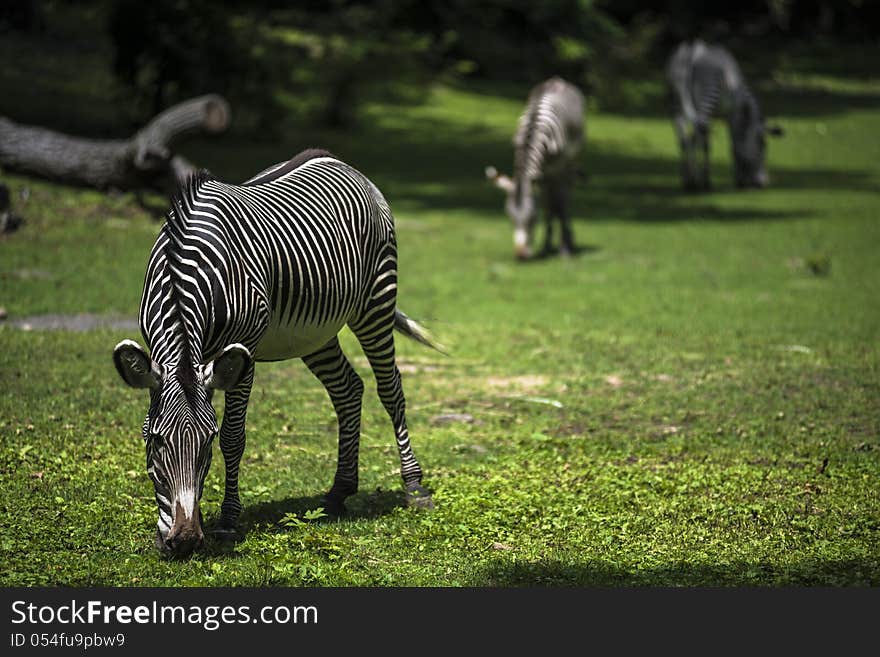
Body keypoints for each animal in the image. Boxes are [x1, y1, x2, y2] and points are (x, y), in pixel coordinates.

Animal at [111, 147, 444, 552]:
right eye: (155, 441)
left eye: (208, 442)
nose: (185, 541)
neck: (181, 271)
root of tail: (337, 160)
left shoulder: (243, 351)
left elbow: (234, 436)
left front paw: (228, 522)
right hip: (314, 332)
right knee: (348, 389)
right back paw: (339, 491)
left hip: (376, 300)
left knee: (390, 389)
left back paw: (414, 487)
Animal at [482, 76, 584, 258]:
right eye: (510, 219)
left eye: (532, 219)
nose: (521, 255)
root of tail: (557, 80)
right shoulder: (540, 174)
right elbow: (547, 206)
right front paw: (545, 246)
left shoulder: (557, 171)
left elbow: (559, 204)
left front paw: (565, 249)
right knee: (550, 201)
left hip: (570, 163)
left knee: (564, 198)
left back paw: (568, 240)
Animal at [668, 39, 784, 190]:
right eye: (762, 145)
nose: (763, 183)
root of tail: (694, 53)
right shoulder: (733, 113)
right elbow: (735, 145)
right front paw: (739, 181)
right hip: (706, 96)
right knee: (701, 136)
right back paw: (704, 182)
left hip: (675, 103)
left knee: (684, 139)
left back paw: (689, 181)